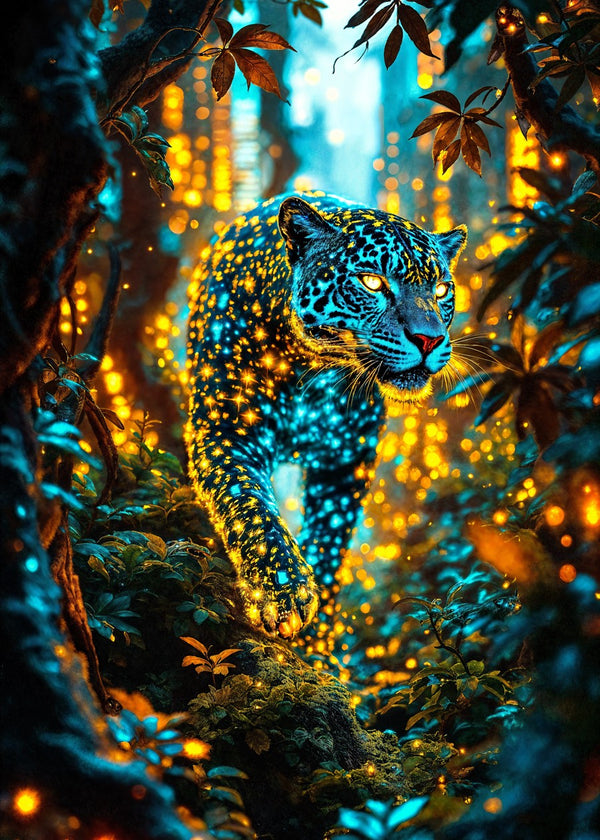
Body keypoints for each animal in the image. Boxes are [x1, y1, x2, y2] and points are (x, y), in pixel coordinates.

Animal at [186, 192, 467, 637]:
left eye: (441, 290)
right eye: (372, 282)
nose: (430, 338)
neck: (311, 371)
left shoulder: (346, 460)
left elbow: (330, 544)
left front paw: (315, 637)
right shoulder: (226, 431)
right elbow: (250, 504)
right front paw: (283, 591)